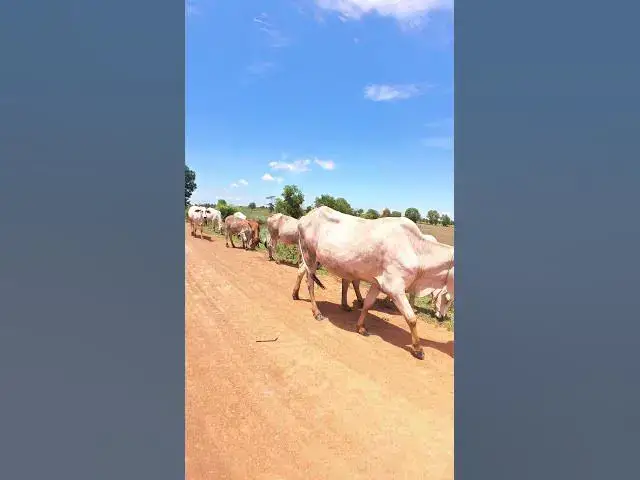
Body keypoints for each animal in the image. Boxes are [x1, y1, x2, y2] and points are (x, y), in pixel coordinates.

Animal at [293, 206, 454, 360]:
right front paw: (418, 349)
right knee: (310, 282)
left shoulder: (378, 284)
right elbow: (411, 318)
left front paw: (360, 327)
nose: (442, 318)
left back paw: (296, 294)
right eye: (447, 300)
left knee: (302, 271)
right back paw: (317, 312)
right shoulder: (395, 288)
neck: (417, 250)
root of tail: (306, 216)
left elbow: (367, 304)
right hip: (309, 255)